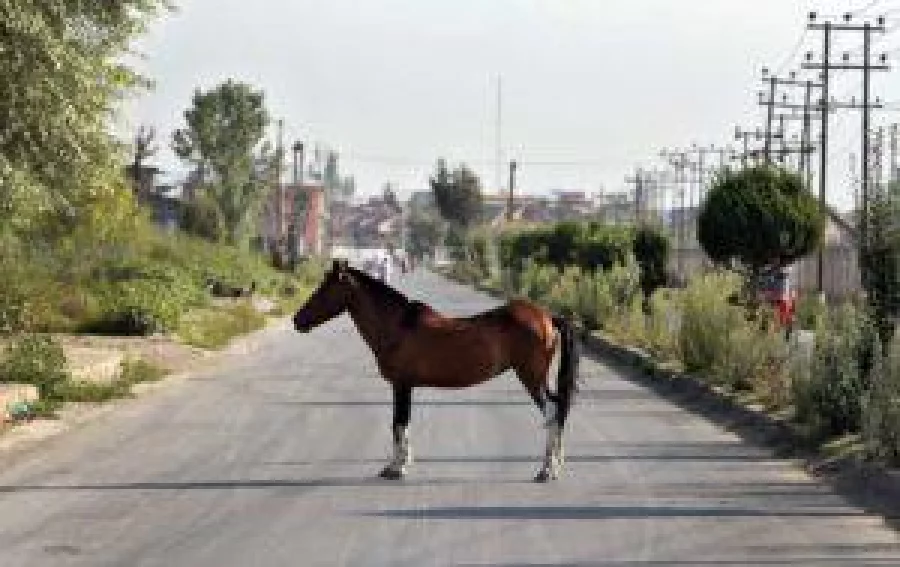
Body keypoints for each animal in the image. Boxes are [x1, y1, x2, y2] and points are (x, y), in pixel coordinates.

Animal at [292, 259, 580, 482]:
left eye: (324, 289)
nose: (297, 320)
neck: (397, 326)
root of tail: (547, 318)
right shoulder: (405, 386)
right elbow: (402, 422)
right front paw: (399, 464)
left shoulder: (401, 385)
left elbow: (398, 423)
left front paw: (397, 468)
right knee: (558, 411)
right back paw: (556, 466)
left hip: (531, 378)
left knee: (551, 412)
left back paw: (546, 470)